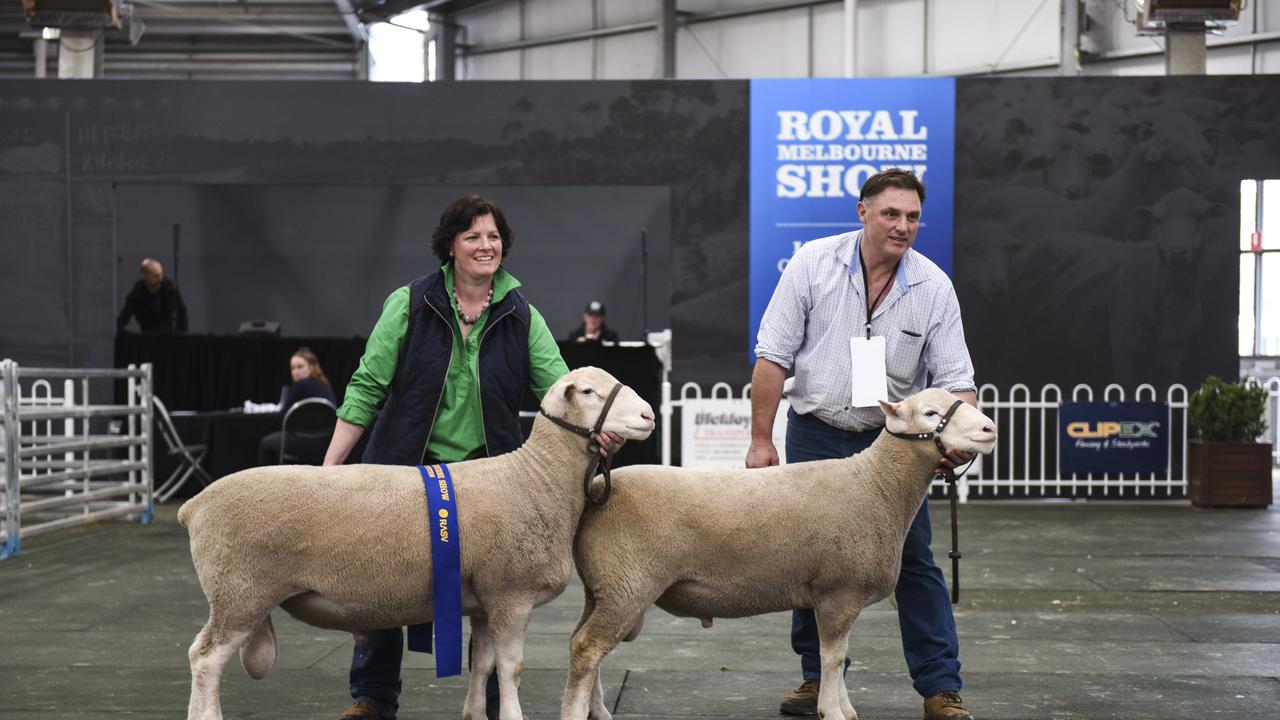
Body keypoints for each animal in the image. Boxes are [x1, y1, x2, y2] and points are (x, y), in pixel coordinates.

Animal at [179, 366, 655, 717]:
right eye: (589, 391)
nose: (649, 415)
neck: (536, 476)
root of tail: (194, 505)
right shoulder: (511, 594)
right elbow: (510, 669)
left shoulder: (483, 602)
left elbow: (482, 665)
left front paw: (474, 714)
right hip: (239, 592)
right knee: (205, 658)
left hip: (239, 595)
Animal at [565, 386, 993, 717]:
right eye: (930, 412)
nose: (990, 428)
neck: (875, 484)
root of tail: (599, 488)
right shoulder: (838, 591)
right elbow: (832, 657)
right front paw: (833, 711)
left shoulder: (837, 597)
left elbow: (838, 655)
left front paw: (845, 707)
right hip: (626, 585)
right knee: (588, 648)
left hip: (603, 587)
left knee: (582, 645)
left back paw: (598, 711)